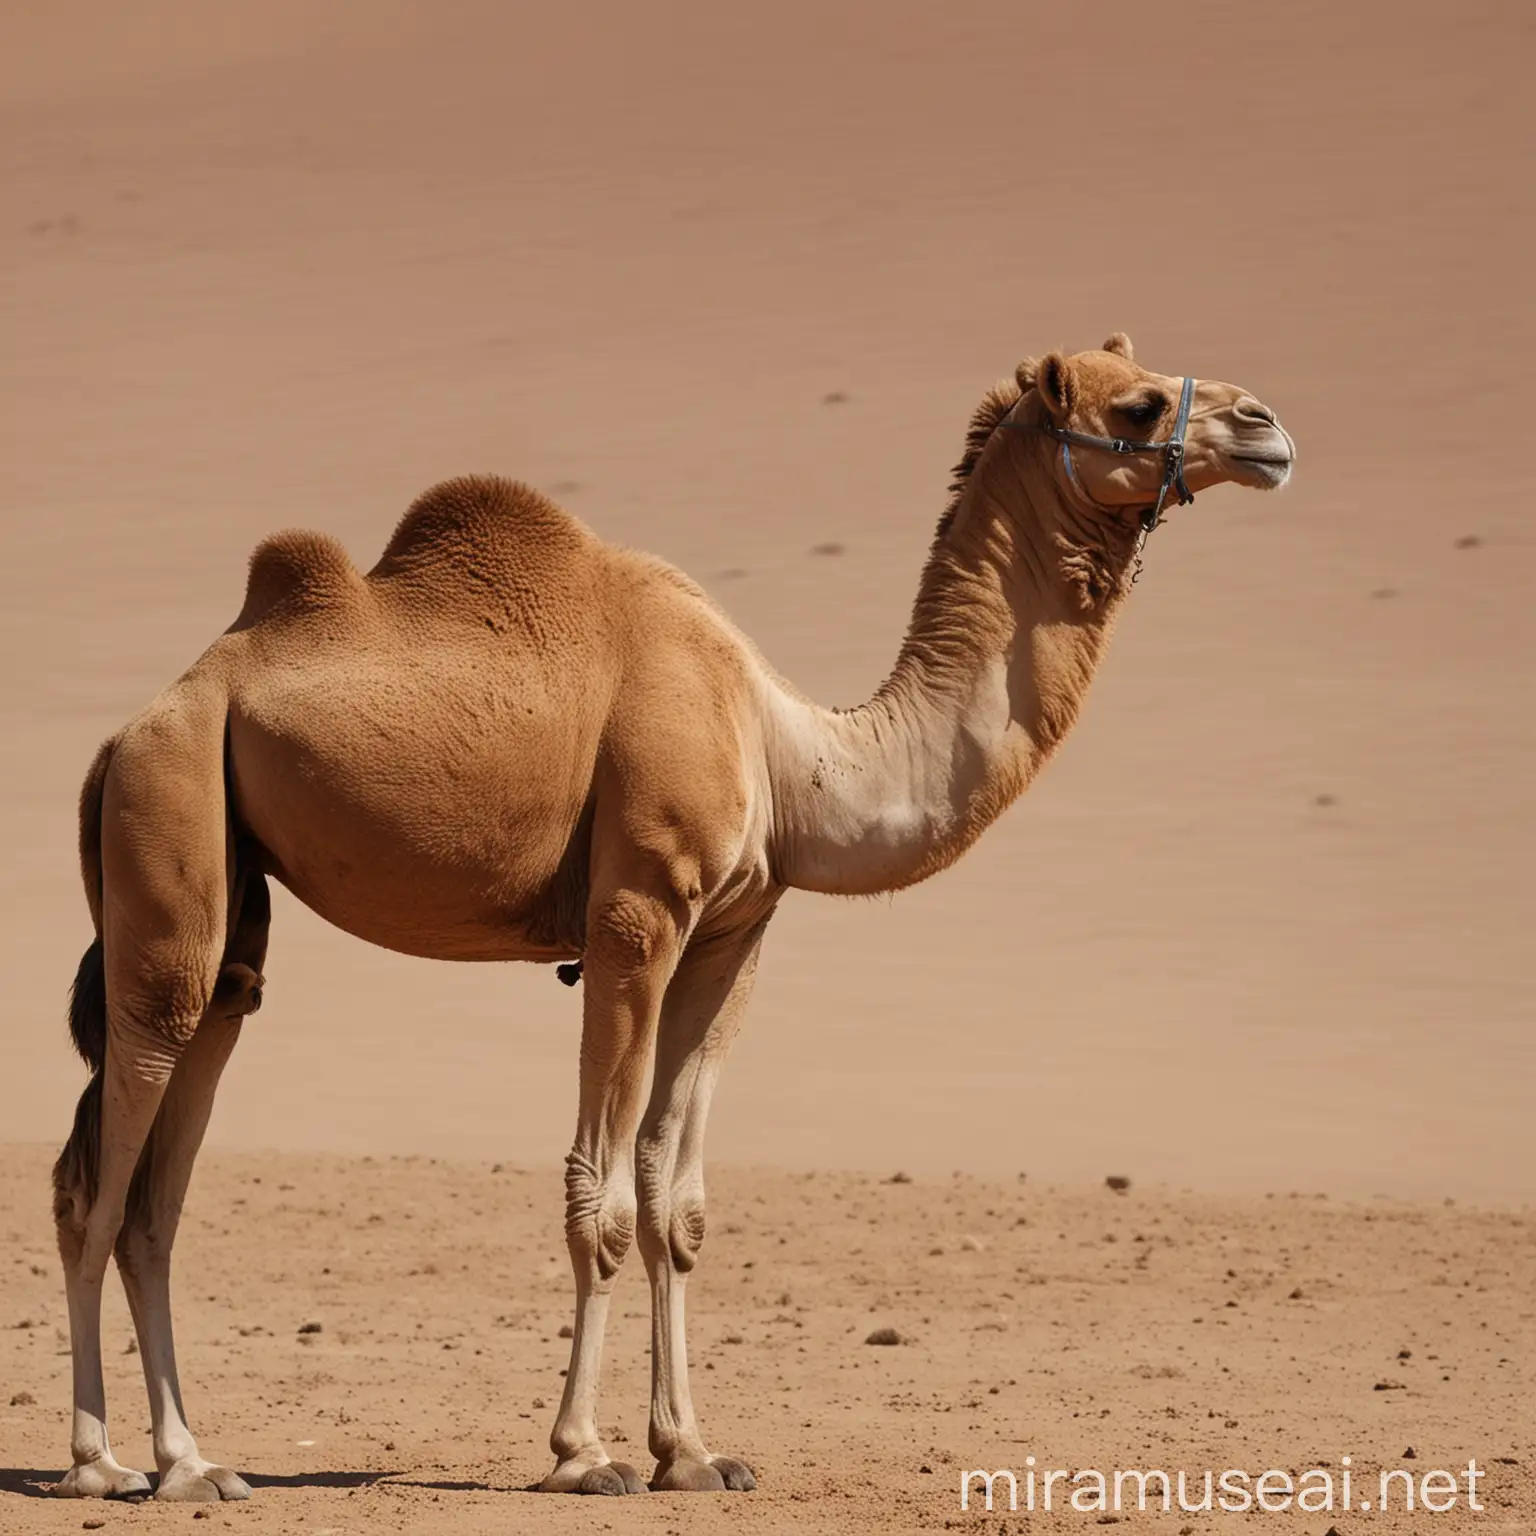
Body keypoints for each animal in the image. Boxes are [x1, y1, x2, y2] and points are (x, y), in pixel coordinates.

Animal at [48, 336, 1290, 1499]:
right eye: (1137, 406)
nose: (1267, 430)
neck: (790, 750)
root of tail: (126, 731)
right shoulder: (636, 914)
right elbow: (596, 1196)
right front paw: (581, 1454)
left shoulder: (736, 930)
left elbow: (673, 1202)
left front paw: (690, 1451)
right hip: (170, 815)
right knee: (99, 1179)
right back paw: (104, 1465)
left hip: (230, 904)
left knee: (161, 1180)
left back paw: (191, 1461)